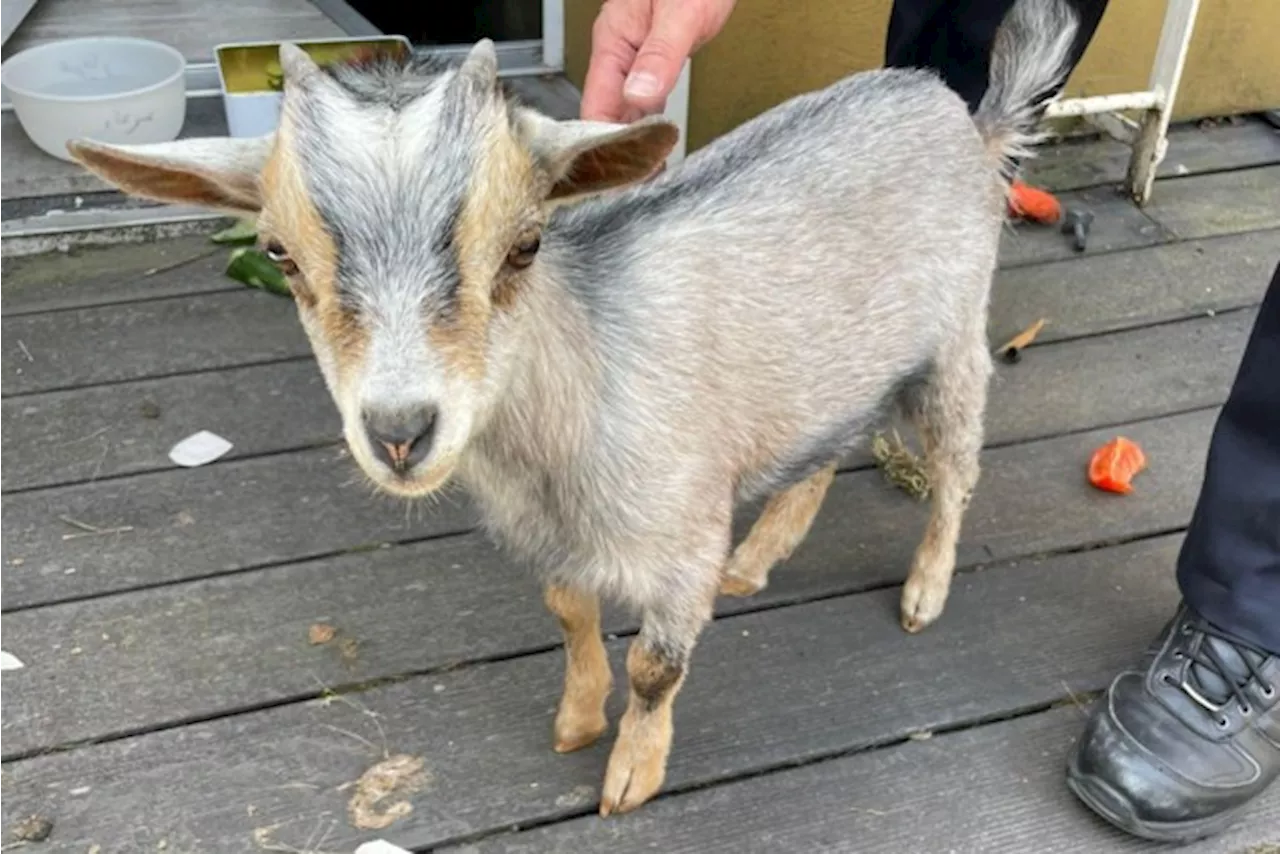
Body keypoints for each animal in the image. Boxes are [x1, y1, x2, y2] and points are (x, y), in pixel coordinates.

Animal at [70, 0, 1080, 819]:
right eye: (279, 254)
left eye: (525, 245)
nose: (400, 433)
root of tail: (969, 120)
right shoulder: (552, 538)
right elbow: (567, 611)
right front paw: (578, 718)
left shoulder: (682, 537)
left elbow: (656, 667)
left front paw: (631, 772)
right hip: (835, 365)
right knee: (828, 444)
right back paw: (760, 557)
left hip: (953, 338)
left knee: (955, 469)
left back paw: (924, 591)